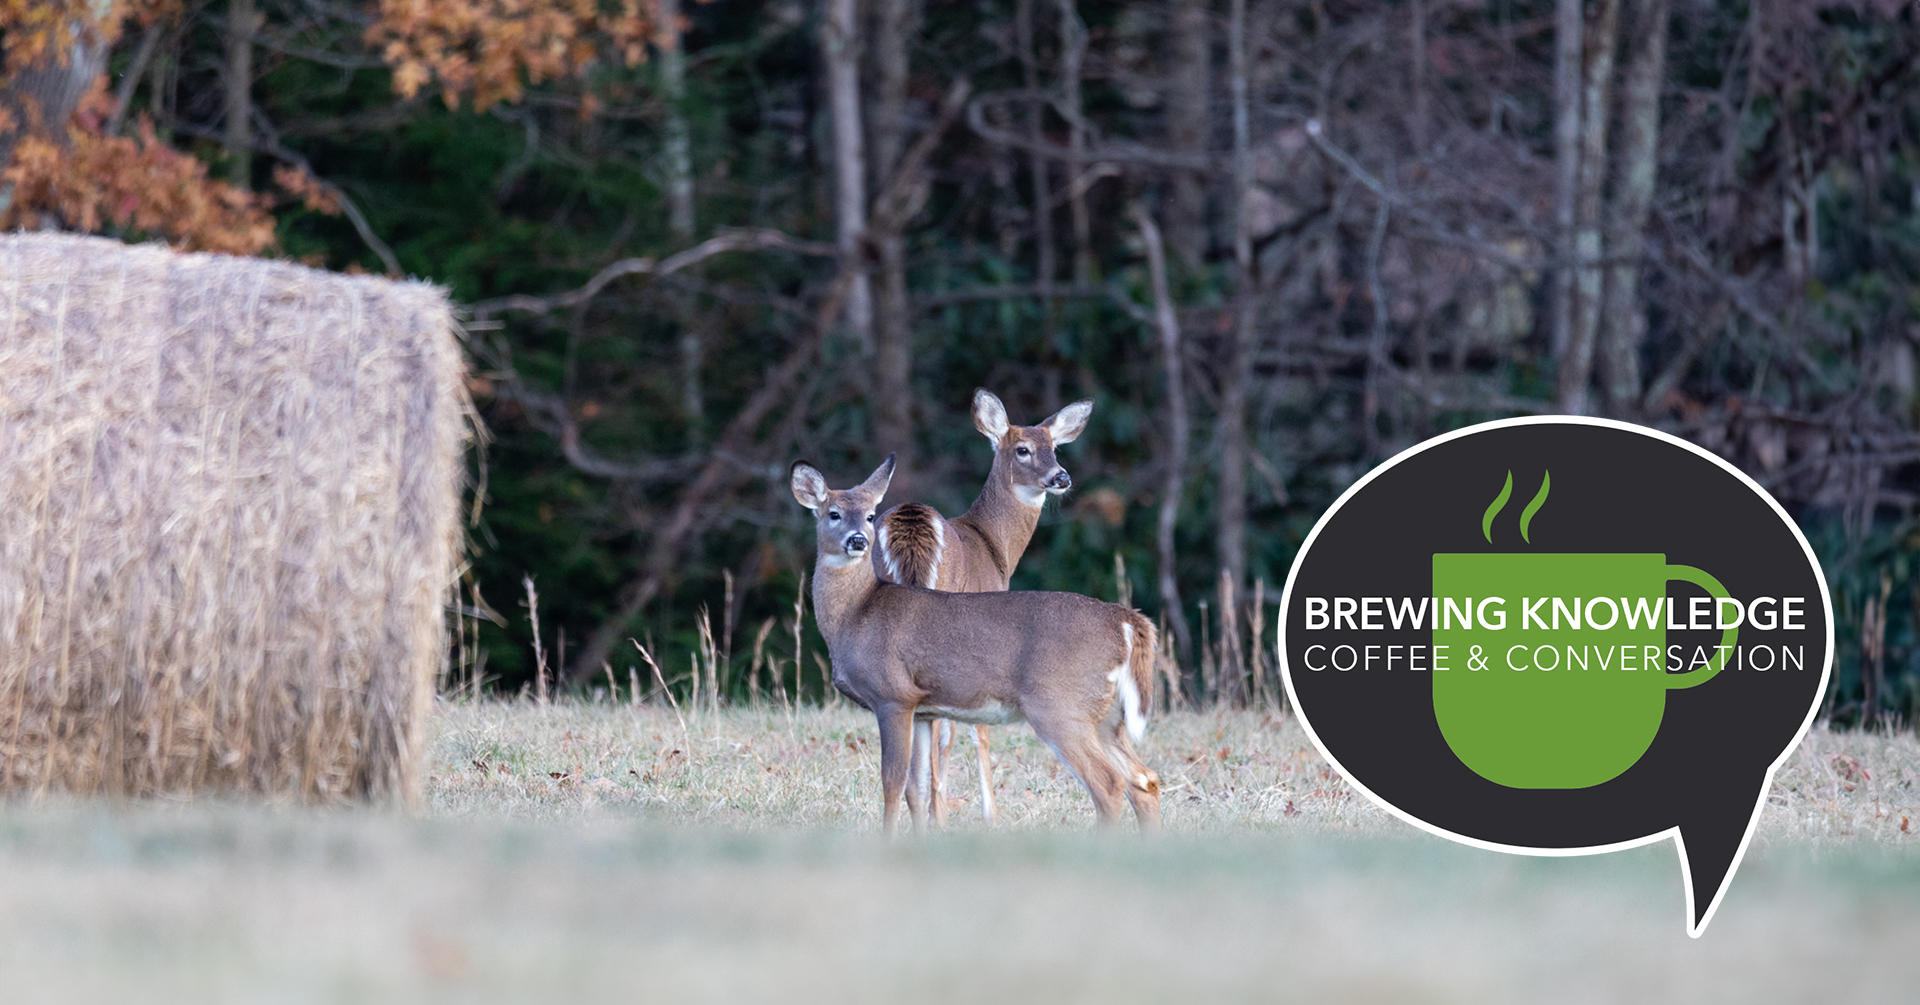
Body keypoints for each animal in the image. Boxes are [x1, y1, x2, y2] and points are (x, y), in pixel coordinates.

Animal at [791, 455, 1159, 833]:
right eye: (833, 513)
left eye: (868, 515)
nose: (858, 540)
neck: (856, 615)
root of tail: (1125, 621)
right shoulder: (922, 708)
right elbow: (917, 786)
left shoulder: (893, 695)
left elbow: (892, 782)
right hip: (1105, 714)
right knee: (1144, 778)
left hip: (1060, 704)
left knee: (1109, 784)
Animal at [875, 388, 1098, 826]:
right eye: (1023, 449)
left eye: (1056, 448)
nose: (1061, 477)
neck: (995, 549)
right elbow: (970, 730)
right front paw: (988, 813)